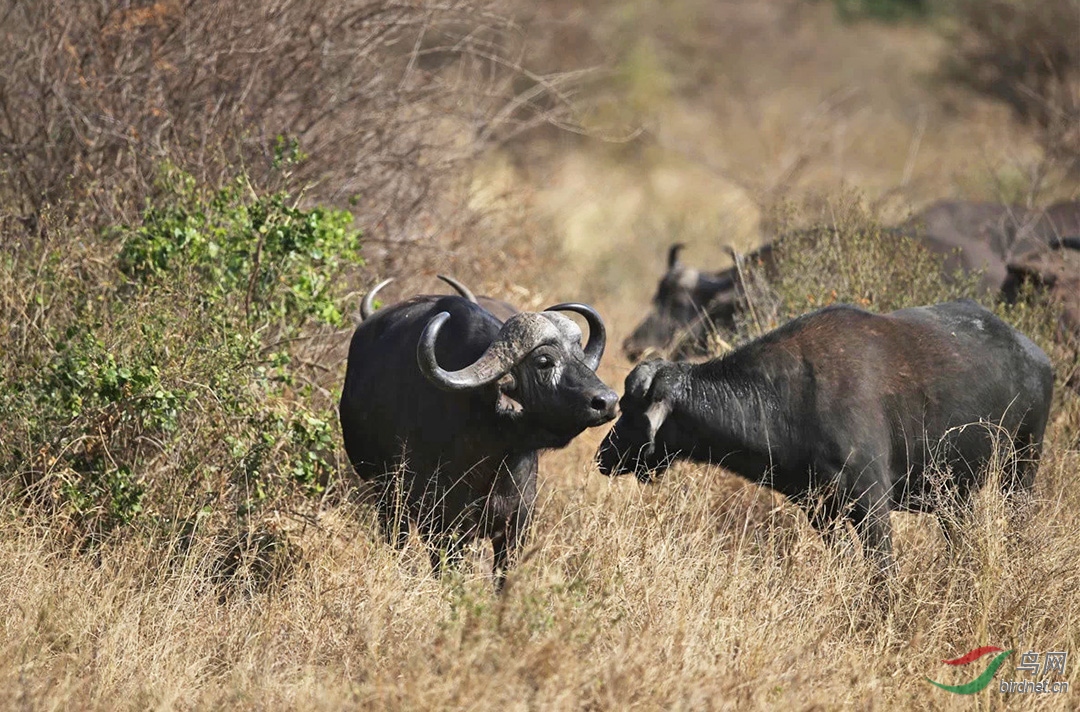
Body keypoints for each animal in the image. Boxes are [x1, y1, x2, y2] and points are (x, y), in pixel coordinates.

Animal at [341, 280, 622, 583]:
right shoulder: (442, 526)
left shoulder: (515, 526)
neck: (494, 457)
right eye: (544, 361)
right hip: (387, 496)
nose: (607, 401)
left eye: (579, 356)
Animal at [596, 300, 1049, 579]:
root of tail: (1035, 354)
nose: (604, 455)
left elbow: (882, 575)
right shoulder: (821, 512)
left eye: (632, 409)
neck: (790, 397)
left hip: (1021, 469)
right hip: (954, 496)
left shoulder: (872, 503)